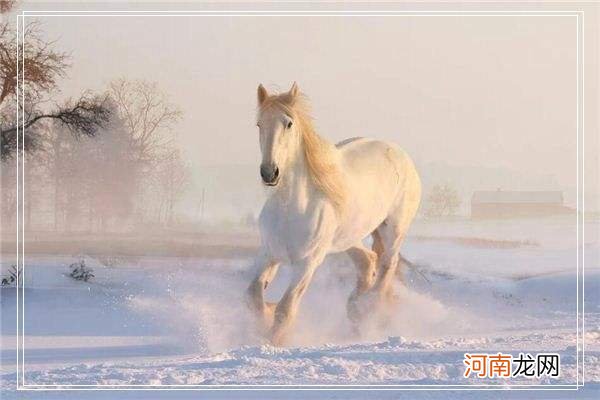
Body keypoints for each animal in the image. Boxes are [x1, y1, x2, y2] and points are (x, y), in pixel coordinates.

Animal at [246, 83, 420, 346]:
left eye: (289, 123)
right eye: (259, 124)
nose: (269, 172)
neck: (291, 209)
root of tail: (400, 154)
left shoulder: (307, 263)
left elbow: (285, 310)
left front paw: (273, 341)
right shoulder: (268, 253)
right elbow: (254, 295)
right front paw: (265, 315)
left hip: (393, 230)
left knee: (387, 265)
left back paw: (367, 308)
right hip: (349, 238)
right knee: (368, 261)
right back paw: (355, 311)